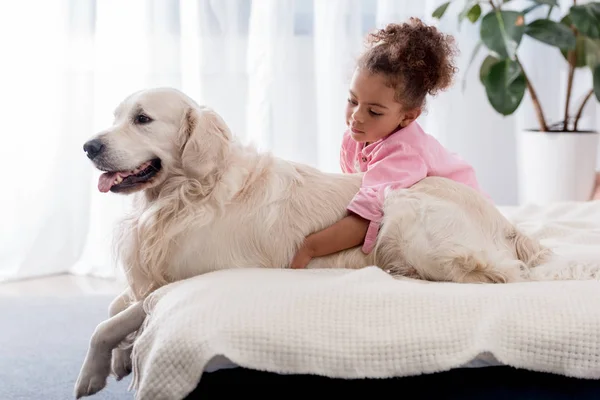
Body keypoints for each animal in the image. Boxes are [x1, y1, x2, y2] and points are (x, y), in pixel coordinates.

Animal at [74, 87, 548, 396]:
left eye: (143, 119)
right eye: (117, 117)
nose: (88, 146)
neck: (190, 193)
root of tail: (506, 222)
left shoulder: (192, 279)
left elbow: (110, 321)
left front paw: (93, 373)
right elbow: (117, 305)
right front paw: (122, 357)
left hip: (404, 208)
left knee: (497, 279)